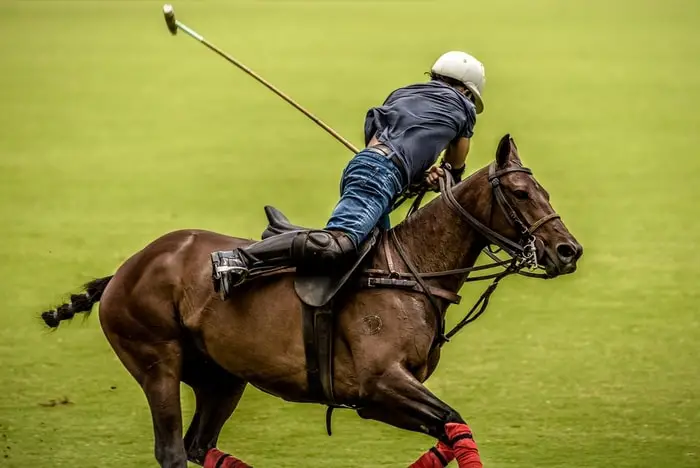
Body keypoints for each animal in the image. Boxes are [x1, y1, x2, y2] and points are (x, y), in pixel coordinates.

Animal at [41, 133, 584, 466]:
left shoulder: (382, 399)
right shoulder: (380, 385)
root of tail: (124, 270)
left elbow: (451, 433)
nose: (568, 251)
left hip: (222, 377)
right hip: (157, 363)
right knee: (173, 450)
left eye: (544, 189)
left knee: (199, 445)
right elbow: (454, 423)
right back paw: (231, 264)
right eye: (520, 193)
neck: (411, 270)